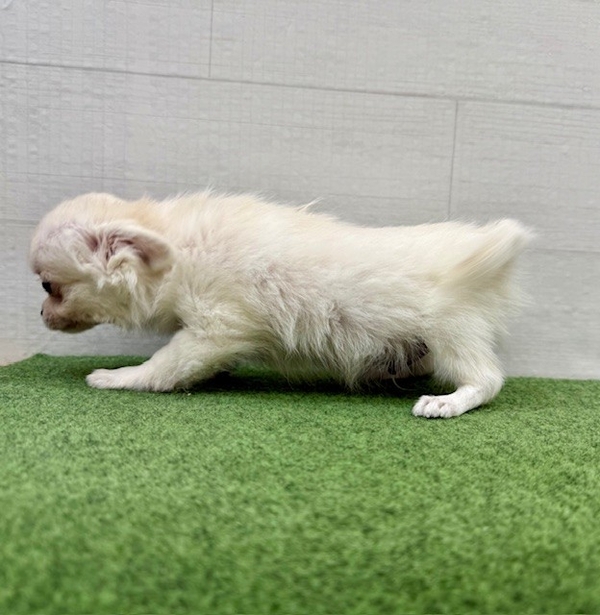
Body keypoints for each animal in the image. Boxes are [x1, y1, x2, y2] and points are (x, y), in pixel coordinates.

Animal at [30, 191, 531, 418]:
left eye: (49, 287)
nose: (39, 314)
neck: (175, 251)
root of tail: (488, 253)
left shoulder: (215, 329)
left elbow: (162, 366)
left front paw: (117, 377)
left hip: (452, 334)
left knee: (487, 381)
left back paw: (446, 403)